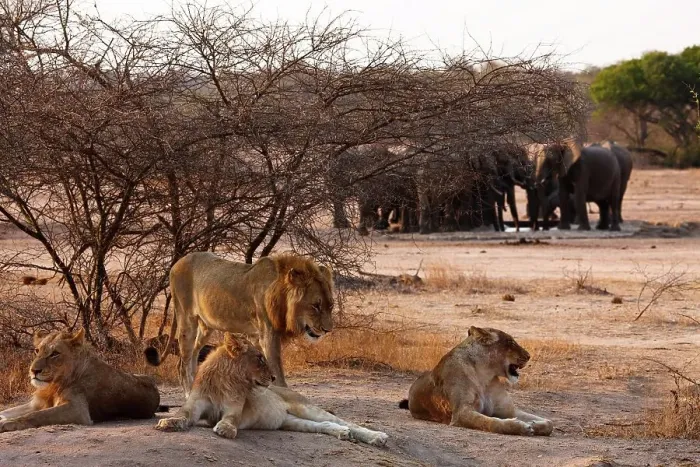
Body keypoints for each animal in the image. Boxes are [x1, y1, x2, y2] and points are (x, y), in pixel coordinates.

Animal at [0, 328, 161, 433]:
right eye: (37, 350)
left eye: (55, 354)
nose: (34, 371)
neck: (54, 384)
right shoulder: (37, 403)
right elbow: (7, 411)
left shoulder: (78, 410)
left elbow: (37, 415)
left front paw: (8, 424)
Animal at [144, 252, 334, 394]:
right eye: (315, 305)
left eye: (330, 305)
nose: (327, 330)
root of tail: (176, 263)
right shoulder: (268, 334)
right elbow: (277, 371)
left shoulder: (256, 337)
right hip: (186, 320)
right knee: (183, 364)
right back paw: (190, 394)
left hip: (206, 328)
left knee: (190, 359)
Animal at [155, 333, 388, 446]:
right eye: (259, 358)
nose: (274, 377)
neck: (225, 381)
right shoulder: (195, 405)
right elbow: (183, 414)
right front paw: (169, 422)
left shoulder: (234, 408)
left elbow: (230, 420)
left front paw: (225, 429)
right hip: (290, 421)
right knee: (326, 424)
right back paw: (342, 433)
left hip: (305, 407)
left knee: (348, 422)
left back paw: (377, 437)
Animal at [398, 326, 553, 436]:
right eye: (510, 342)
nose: (528, 356)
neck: (484, 375)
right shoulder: (461, 412)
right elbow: (492, 423)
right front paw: (521, 427)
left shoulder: (508, 409)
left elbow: (550, 423)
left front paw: (534, 423)